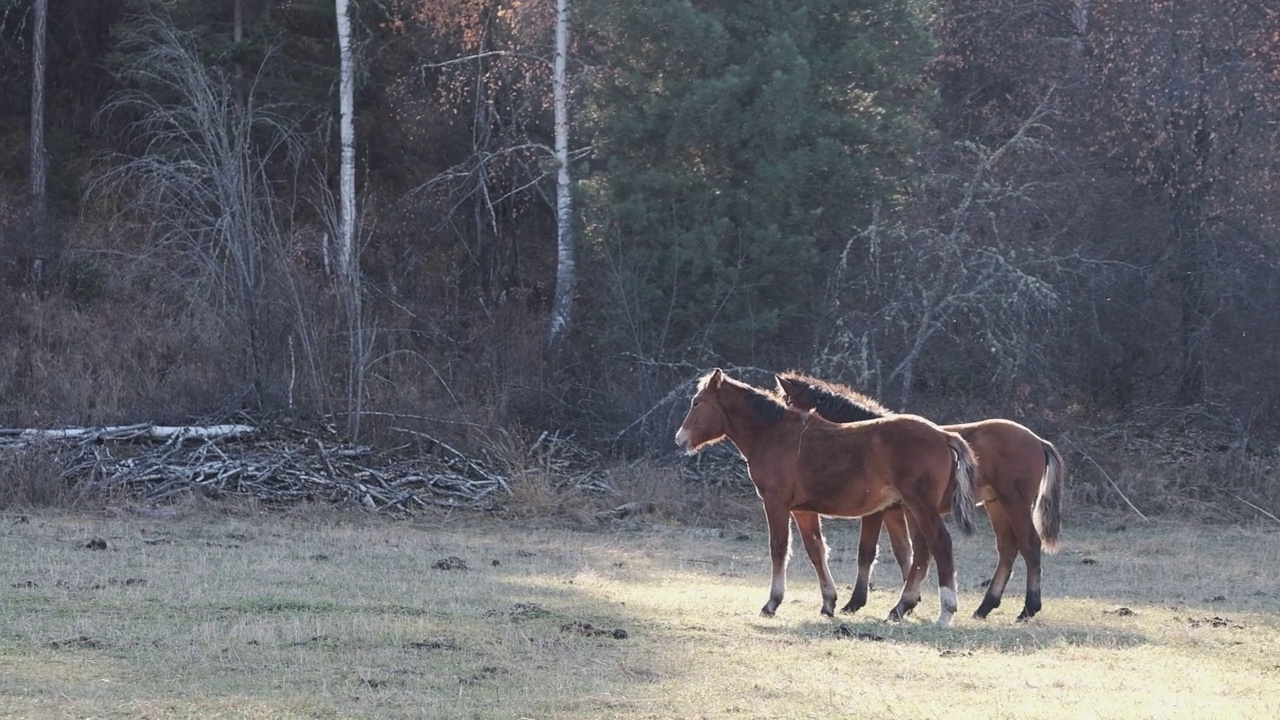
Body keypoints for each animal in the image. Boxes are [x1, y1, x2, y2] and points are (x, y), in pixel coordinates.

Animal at [675, 366, 972, 625]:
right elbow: (816, 550)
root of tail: (944, 435)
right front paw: (829, 603)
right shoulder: (803, 510)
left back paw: (945, 612)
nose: (680, 439)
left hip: (921, 506)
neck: (774, 434)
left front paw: (772, 603)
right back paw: (901, 607)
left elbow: (779, 548)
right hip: (913, 508)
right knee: (922, 550)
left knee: (940, 544)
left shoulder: (776, 503)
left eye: (696, 403)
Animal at [773, 368, 1064, 617]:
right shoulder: (896, 511)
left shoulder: (879, 511)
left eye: (788, 400)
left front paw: (857, 602)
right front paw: (911, 600)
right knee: (1007, 547)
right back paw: (985, 606)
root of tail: (1037, 440)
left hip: (1014, 502)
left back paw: (1028, 608)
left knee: (1029, 544)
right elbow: (906, 551)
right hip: (995, 504)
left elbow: (868, 551)